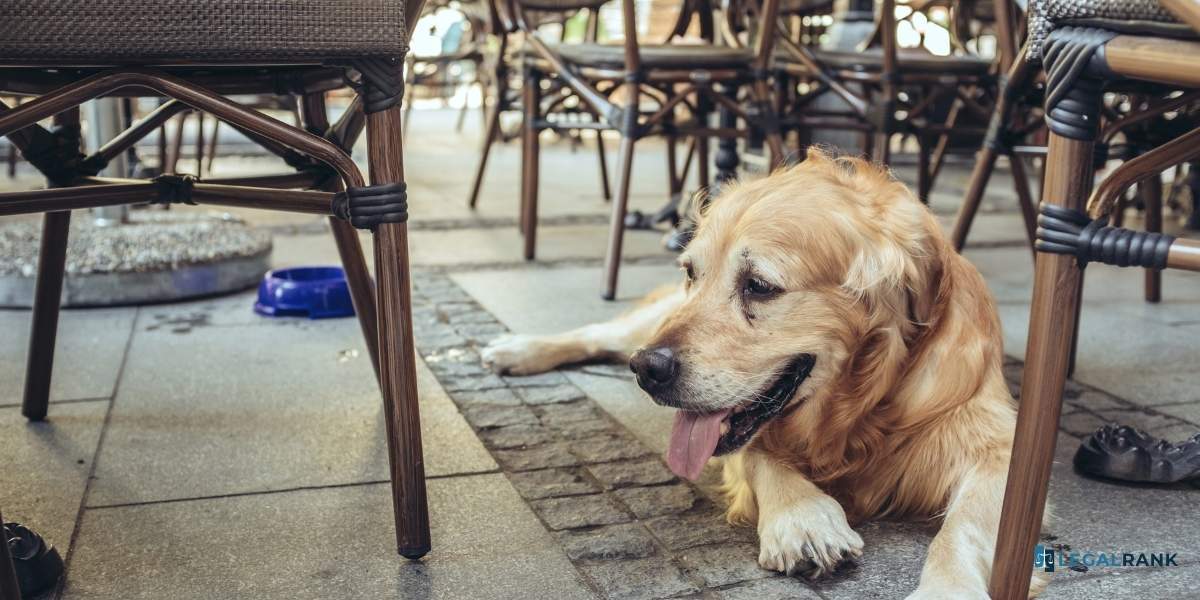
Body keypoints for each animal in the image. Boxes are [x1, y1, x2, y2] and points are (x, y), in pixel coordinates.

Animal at [482, 150, 1046, 600]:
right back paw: (518, 349)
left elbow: (961, 530)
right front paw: (803, 517)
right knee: (602, 332)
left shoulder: (999, 448)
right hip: (651, 323)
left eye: (759, 285)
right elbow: (758, 454)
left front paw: (945, 589)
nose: (648, 370)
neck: (858, 409)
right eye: (693, 272)